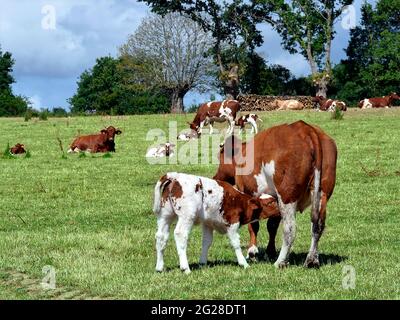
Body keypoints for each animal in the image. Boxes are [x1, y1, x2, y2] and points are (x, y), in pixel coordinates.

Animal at [152, 171, 280, 274]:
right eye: (270, 203)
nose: (280, 210)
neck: (240, 202)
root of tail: (175, 176)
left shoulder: (208, 224)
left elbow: (206, 242)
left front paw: (202, 262)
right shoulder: (232, 224)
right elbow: (236, 243)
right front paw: (243, 263)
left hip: (165, 215)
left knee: (161, 237)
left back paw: (159, 267)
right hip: (187, 216)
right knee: (180, 235)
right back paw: (185, 268)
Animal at [212, 120, 338, 268]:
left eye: (220, 156)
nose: (215, 177)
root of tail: (306, 129)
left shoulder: (249, 192)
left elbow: (254, 225)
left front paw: (252, 252)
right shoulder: (275, 199)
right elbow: (272, 226)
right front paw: (270, 251)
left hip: (287, 196)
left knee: (290, 228)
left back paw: (281, 262)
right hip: (322, 194)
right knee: (317, 225)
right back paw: (312, 260)